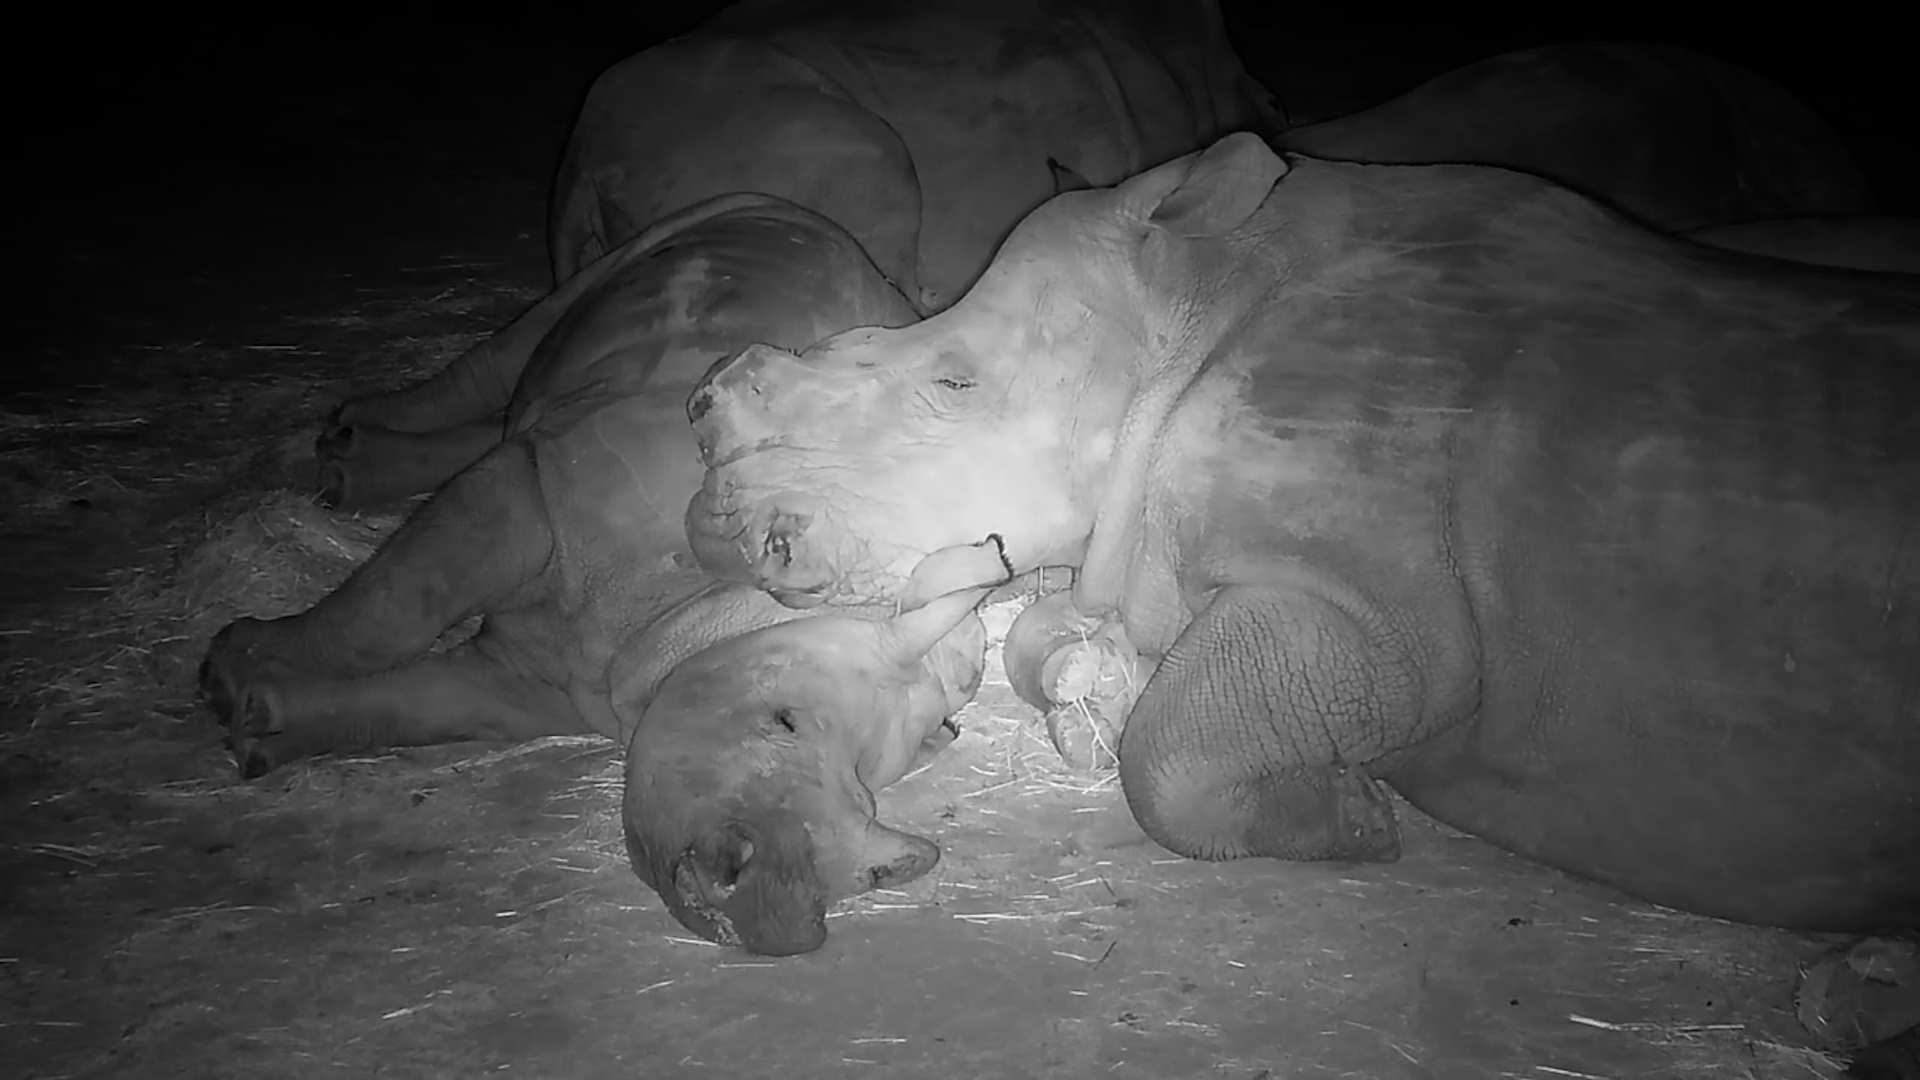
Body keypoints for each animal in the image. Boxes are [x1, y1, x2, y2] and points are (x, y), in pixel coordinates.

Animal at [201, 194, 1022, 955]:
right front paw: (233, 670)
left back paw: (347, 468)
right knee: (522, 346)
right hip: (701, 219)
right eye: (781, 722)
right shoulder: (545, 490)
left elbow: (416, 701)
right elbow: (401, 603)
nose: (782, 919)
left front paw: (261, 726)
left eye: (868, 791)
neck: (708, 618)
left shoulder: (540, 684)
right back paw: (346, 451)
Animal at [683, 134, 1919, 936]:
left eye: (955, 381)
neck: (1191, 313)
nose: (711, 490)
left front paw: (1356, 820)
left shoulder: (1388, 617)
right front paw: (1094, 700)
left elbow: (1170, 757)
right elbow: (1068, 642)